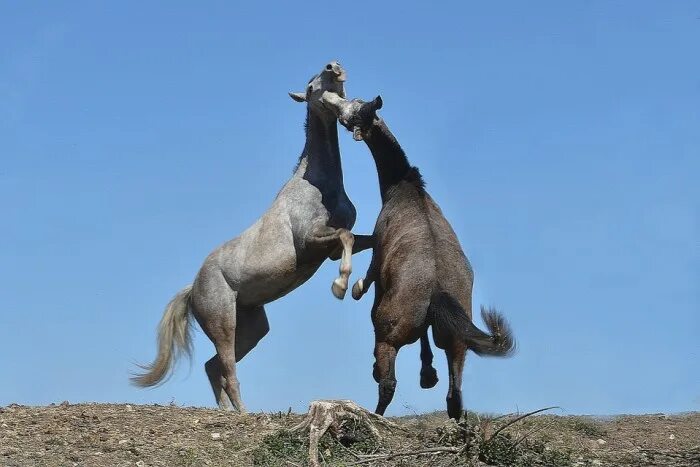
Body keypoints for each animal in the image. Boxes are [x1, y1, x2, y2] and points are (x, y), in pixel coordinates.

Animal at [131, 62, 372, 414]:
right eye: (310, 87)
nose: (334, 67)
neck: (319, 186)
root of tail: (193, 289)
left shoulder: (327, 247)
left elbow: (367, 238)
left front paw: (360, 285)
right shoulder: (311, 242)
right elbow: (346, 237)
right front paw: (340, 285)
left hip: (253, 329)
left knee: (213, 366)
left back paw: (227, 411)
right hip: (224, 322)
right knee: (226, 368)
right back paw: (242, 412)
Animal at [322, 91, 516, 420]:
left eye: (354, 111)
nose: (334, 102)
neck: (404, 186)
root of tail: (437, 292)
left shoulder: (379, 252)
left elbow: (369, 280)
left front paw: (353, 287)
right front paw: (428, 374)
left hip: (389, 335)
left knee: (388, 382)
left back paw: (377, 407)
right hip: (456, 343)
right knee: (454, 396)